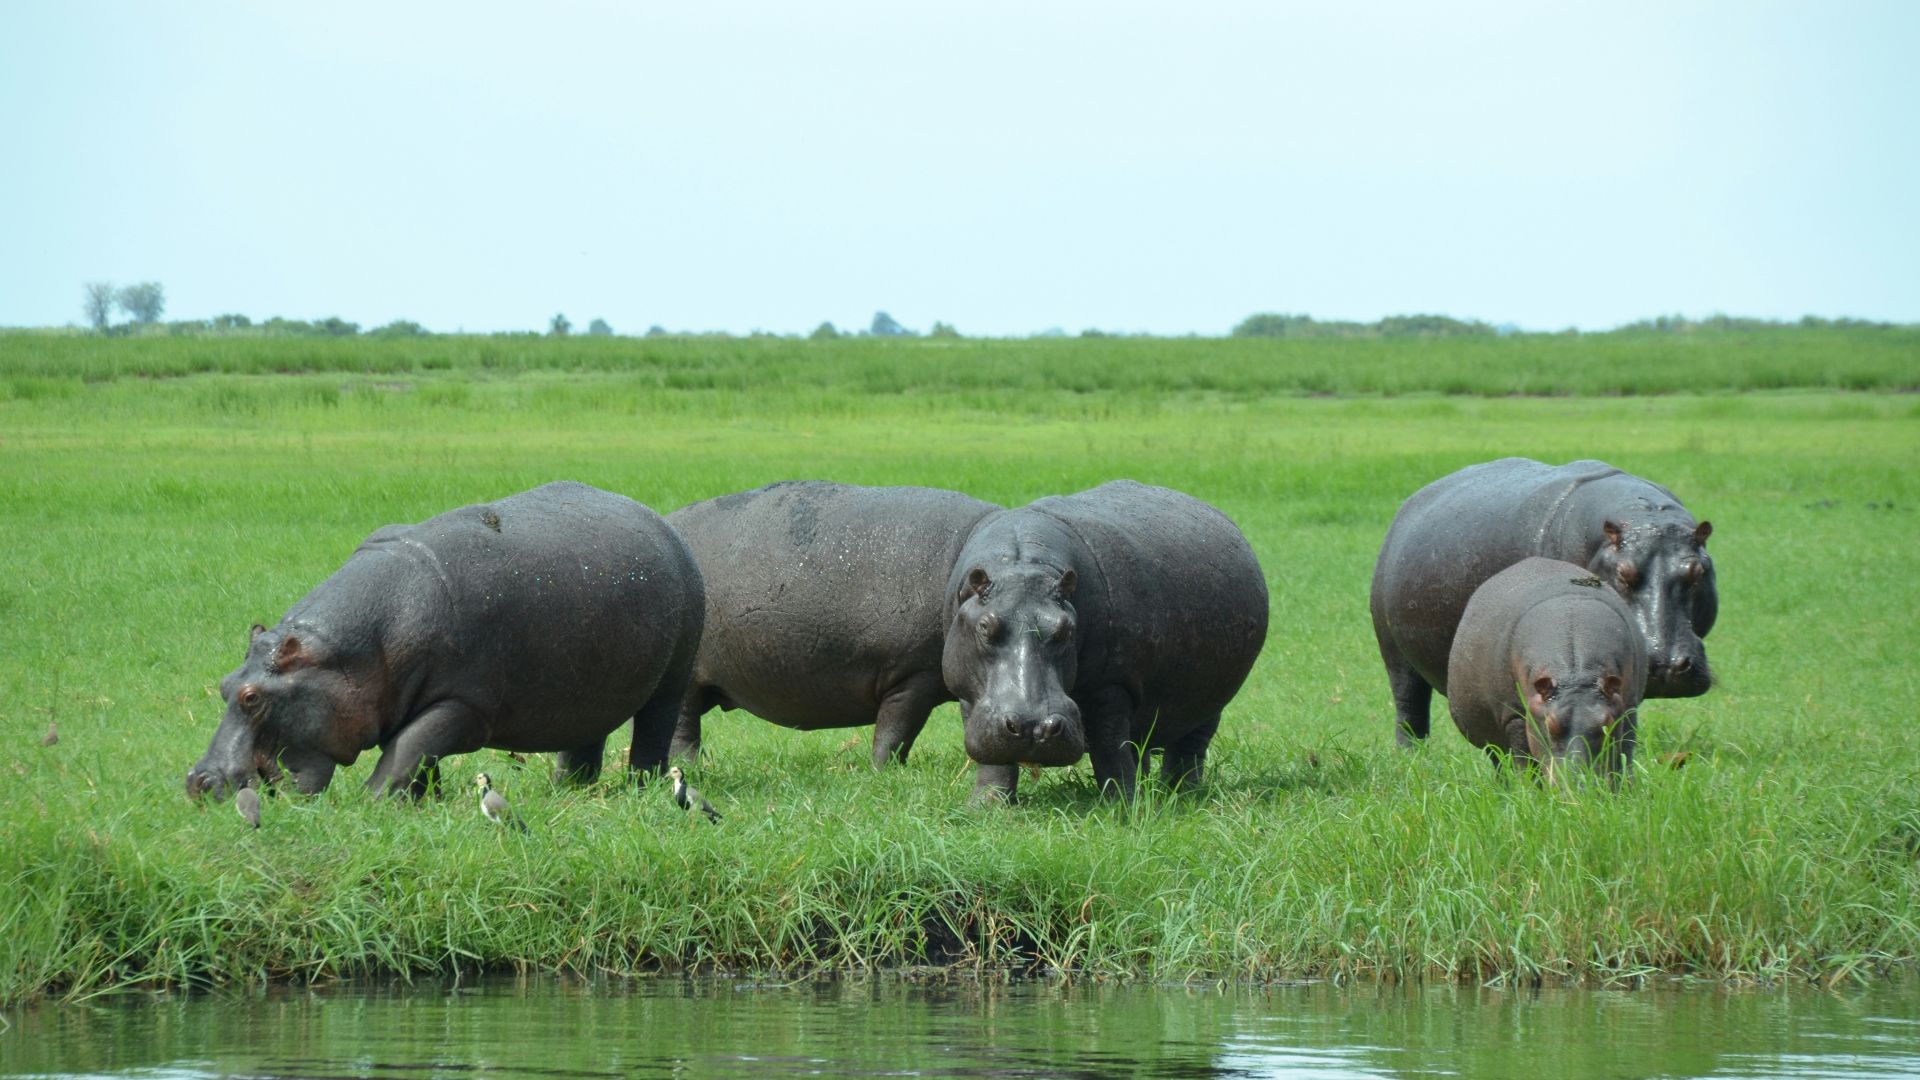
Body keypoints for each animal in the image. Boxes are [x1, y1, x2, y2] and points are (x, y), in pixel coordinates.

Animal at [185, 481, 704, 801]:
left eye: (252, 698)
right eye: (224, 685)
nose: (198, 781)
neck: (343, 655)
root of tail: (666, 527)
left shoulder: (463, 704)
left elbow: (407, 750)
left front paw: (372, 803)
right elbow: (420, 757)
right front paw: (422, 803)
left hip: (669, 683)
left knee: (652, 733)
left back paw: (639, 788)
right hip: (592, 686)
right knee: (583, 740)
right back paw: (567, 791)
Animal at [667, 481, 1000, 766]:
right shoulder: (914, 677)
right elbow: (895, 732)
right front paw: (885, 772)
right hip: (689, 681)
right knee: (682, 729)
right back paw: (689, 766)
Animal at [943, 480, 1268, 802]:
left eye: (1067, 629)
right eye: (985, 626)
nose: (1033, 726)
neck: (1023, 565)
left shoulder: (1111, 685)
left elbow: (1109, 748)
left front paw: (1121, 805)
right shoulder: (971, 694)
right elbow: (994, 760)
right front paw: (986, 807)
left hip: (1210, 702)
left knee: (1188, 748)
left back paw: (1181, 795)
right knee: (1141, 748)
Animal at [1370, 458, 1714, 745]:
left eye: (1698, 572)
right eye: (1623, 572)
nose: (1665, 665)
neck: (1642, 516)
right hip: (1394, 654)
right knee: (1409, 710)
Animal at [1447, 558, 1647, 781]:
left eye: (1606, 724)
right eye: (1550, 726)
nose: (1578, 784)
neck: (1576, 676)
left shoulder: (1627, 708)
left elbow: (1623, 757)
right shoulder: (1516, 717)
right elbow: (1525, 763)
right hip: (1491, 740)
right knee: (1500, 763)